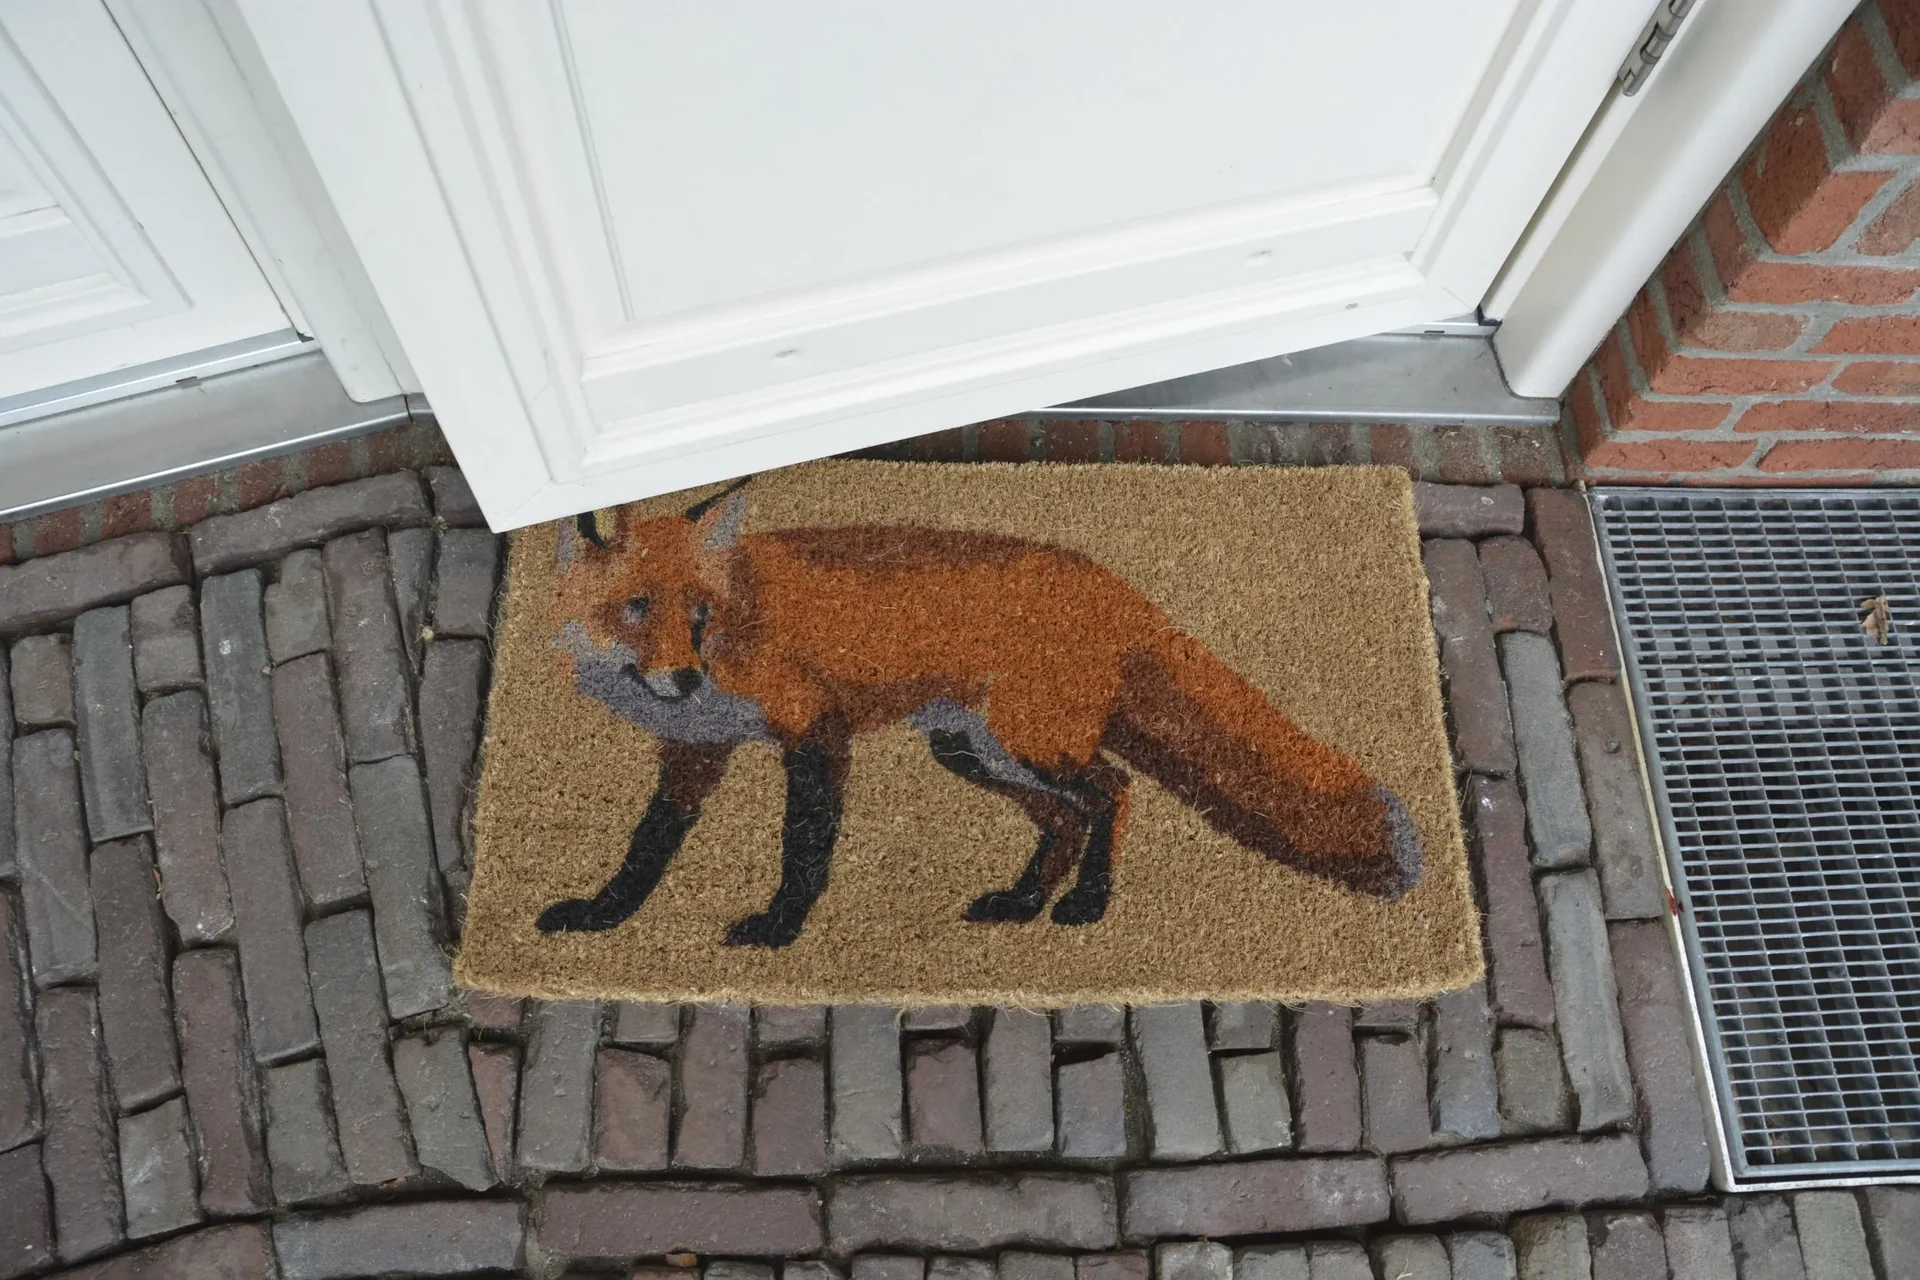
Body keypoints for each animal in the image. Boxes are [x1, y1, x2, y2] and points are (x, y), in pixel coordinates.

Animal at [537, 477, 1423, 948]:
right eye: (635, 608)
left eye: (700, 612)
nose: (684, 679)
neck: (737, 633)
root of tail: (1107, 582)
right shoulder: (694, 754)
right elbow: (646, 847)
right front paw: (603, 916)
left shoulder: (814, 731)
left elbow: (804, 848)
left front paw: (781, 927)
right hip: (970, 749)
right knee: (1065, 816)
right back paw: (1024, 903)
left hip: (1027, 740)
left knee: (1114, 791)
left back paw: (1087, 905)